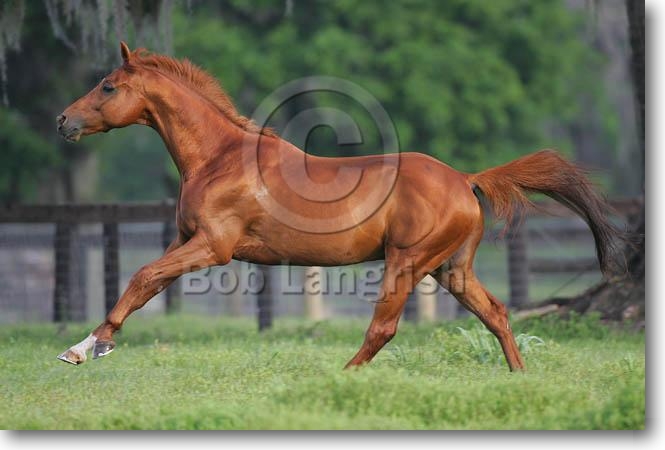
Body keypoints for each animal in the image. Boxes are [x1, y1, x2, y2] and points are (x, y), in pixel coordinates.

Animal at [54, 44, 620, 370]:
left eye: (108, 85)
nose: (63, 120)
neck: (219, 158)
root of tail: (465, 179)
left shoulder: (214, 247)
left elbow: (142, 276)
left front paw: (86, 349)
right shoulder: (185, 240)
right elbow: (146, 284)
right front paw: (91, 344)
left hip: (408, 262)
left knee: (384, 328)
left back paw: (343, 378)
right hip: (452, 269)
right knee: (497, 314)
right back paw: (518, 379)